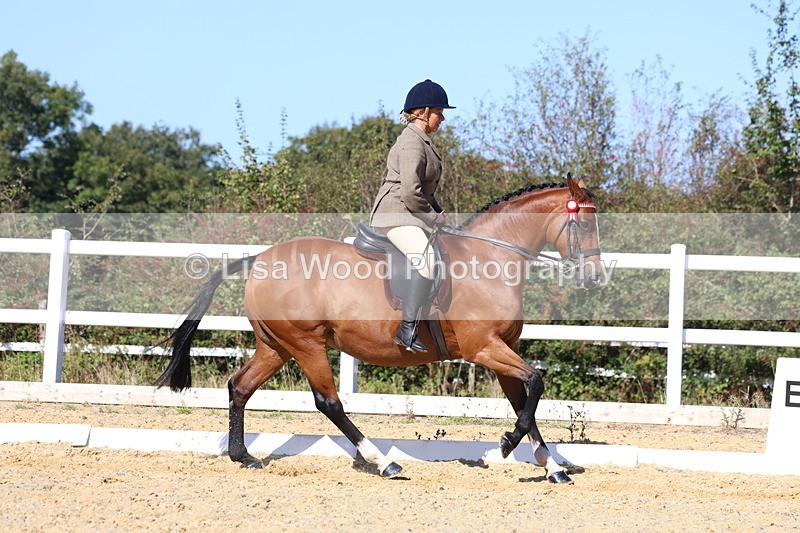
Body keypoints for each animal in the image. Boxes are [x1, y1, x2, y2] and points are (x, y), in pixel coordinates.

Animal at [156, 175, 604, 484]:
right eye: (583, 226)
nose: (595, 279)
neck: (490, 259)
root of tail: (259, 259)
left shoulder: (501, 349)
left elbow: (525, 402)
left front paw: (551, 467)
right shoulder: (484, 348)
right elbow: (536, 385)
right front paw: (507, 446)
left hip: (276, 346)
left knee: (240, 386)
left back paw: (243, 456)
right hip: (306, 343)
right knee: (329, 403)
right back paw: (383, 462)